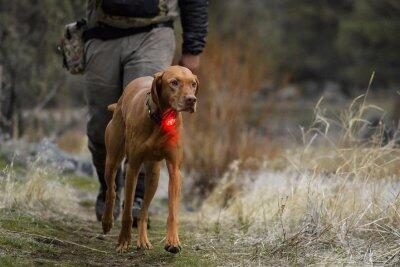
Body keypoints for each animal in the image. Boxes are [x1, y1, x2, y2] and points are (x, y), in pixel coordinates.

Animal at [101, 66, 198, 254]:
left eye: (193, 84)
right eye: (174, 82)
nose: (192, 100)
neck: (161, 119)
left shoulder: (174, 170)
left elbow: (172, 212)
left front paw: (173, 242)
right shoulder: (133, 167)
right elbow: (127, 212)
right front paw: (123, 241)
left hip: (153, 176)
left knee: (144, 210)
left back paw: (143, 240)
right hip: (112, 159)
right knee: (112, 190)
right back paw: (107, 221)